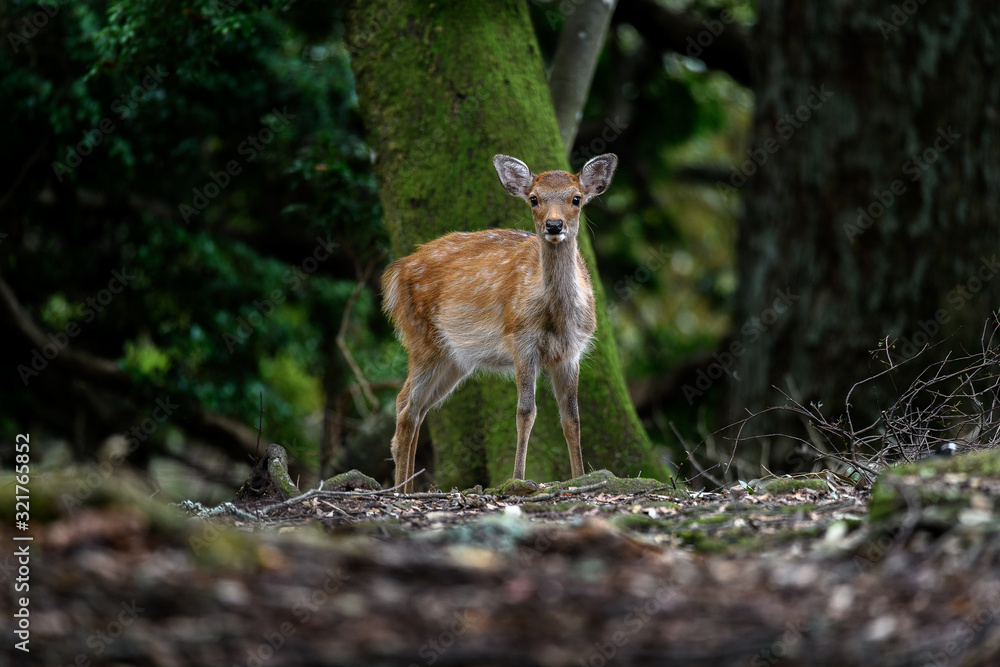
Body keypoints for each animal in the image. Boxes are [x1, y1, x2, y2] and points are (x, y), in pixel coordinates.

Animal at [381, 153, 618, 493]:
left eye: (576, 198)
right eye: (534, 199)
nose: (554, 225)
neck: (556, 318)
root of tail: (395, 273)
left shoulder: (572, 352)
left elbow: (572, 418)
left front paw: (580, 476)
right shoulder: (521, 340)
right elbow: (526, 411)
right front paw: (517, 478)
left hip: (454, 359)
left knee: (418, 406)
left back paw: (408, 488)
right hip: (420, 337)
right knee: (405, 404)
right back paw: (401, 490)